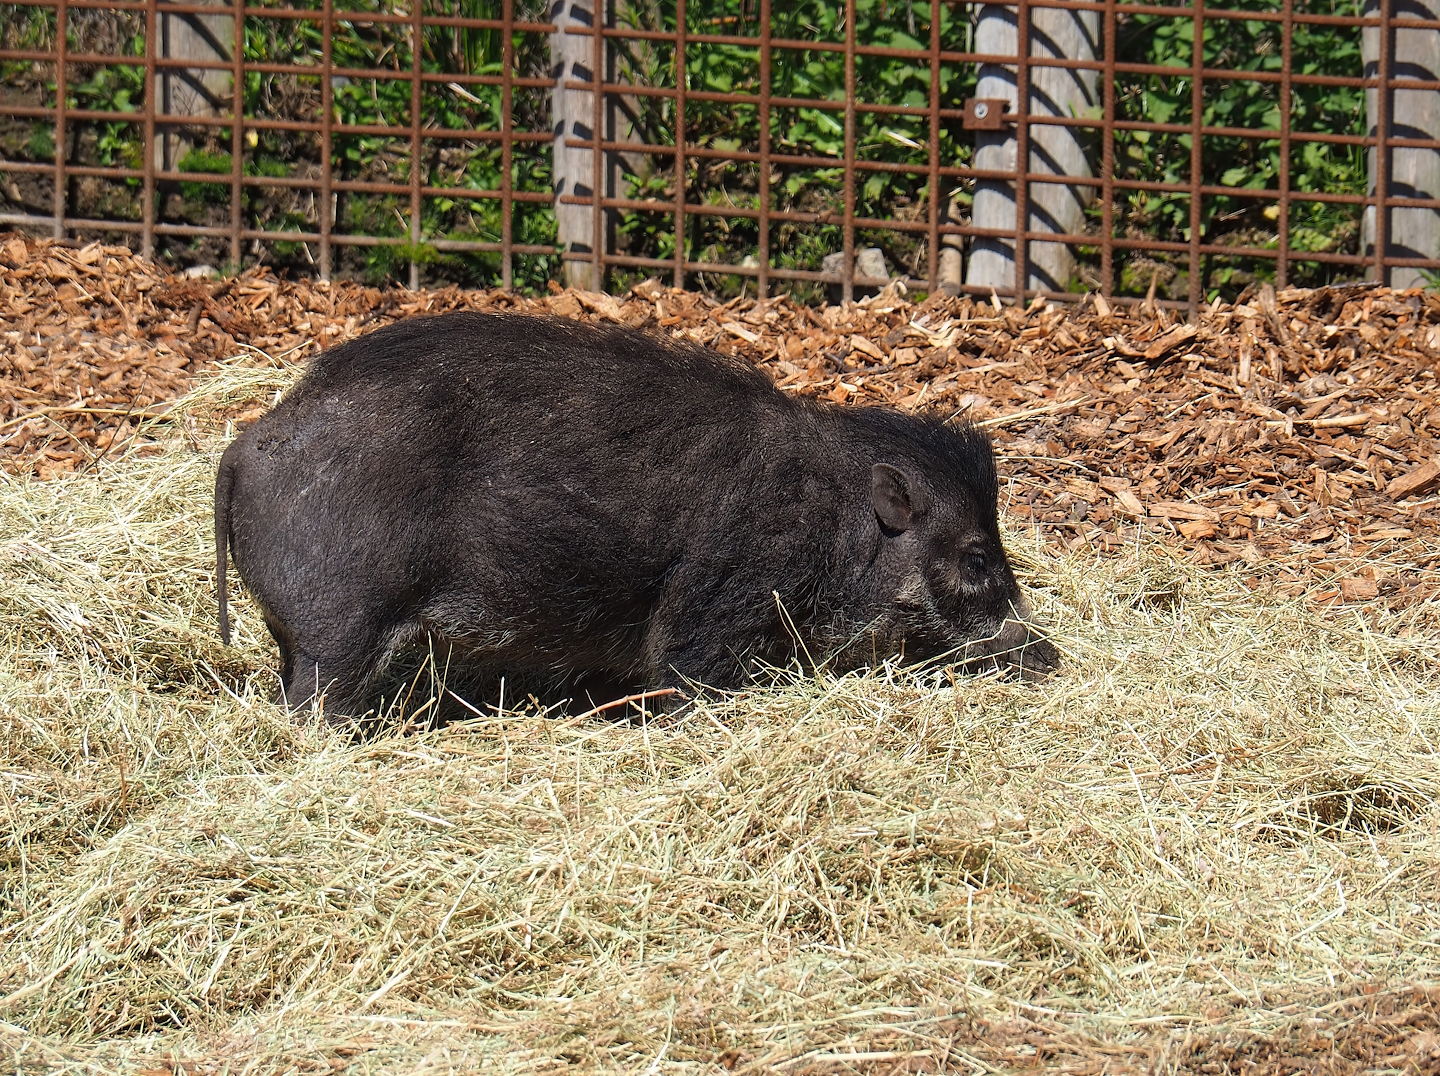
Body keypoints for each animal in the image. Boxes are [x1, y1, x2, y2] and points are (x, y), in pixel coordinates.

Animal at [214, 311, 1057, 719]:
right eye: (978, 557)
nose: (1050, 656)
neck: (833, 526)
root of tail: (249, 443)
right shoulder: (712, 611)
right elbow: (689, 682)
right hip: (337, 629)